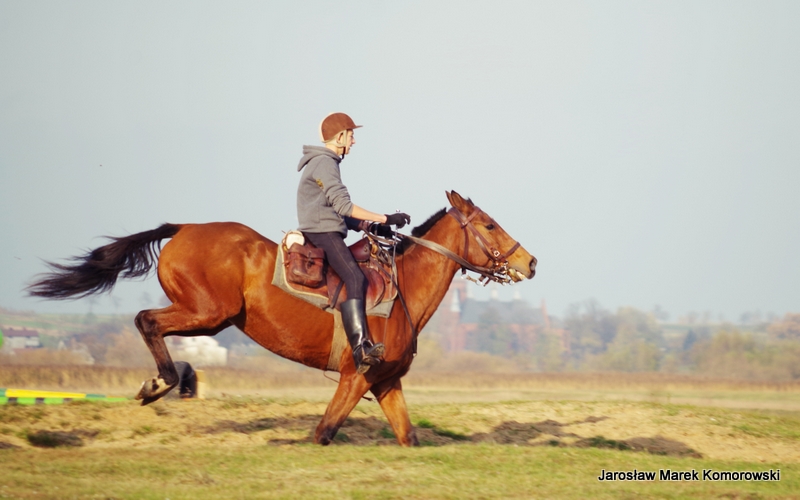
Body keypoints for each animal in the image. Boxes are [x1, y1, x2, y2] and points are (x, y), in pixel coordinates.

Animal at [28, 191, 537, 446]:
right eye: (489, 224)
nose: (529, 263)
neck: (403, 290)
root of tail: (184, 228)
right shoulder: (356, 377)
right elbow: (323, 432)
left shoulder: (386, 382)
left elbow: (408, 436)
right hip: (206, 313)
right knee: (146, 320)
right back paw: (160, 383)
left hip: (210, 319)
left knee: (148, 321)